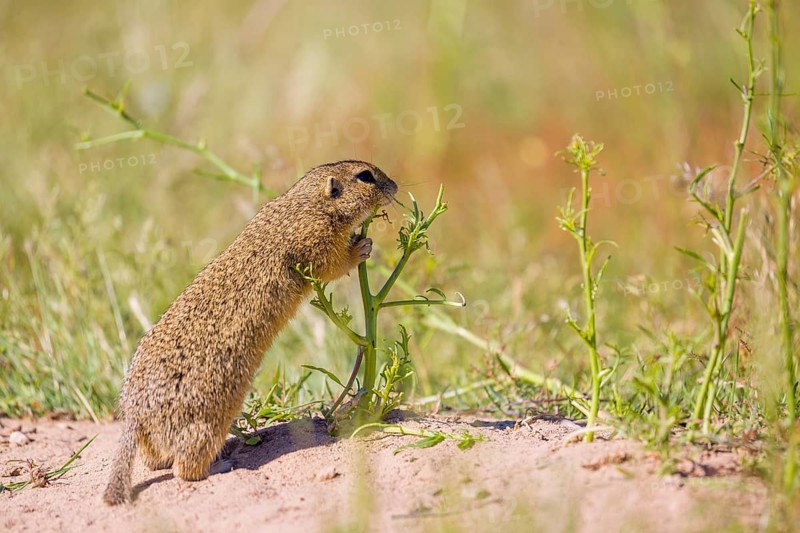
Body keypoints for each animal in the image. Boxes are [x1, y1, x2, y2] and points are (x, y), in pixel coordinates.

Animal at [102, 160, 398, 505]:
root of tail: (134, 414)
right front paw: (363, 247)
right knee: (184, 469)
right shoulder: (316, 242)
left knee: (154, 460)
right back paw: (221, 464)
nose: (395, 186)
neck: (306, 204)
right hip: (208, 424)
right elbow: (334, 265)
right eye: (365, 176)